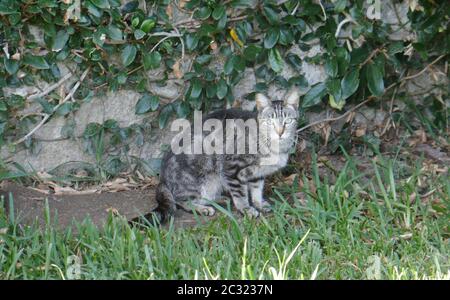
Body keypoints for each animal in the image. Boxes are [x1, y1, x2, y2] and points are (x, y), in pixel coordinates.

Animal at [155, 89, 298, 220]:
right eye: (270, 122)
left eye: (288, 121)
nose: (280, 132)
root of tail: (162, 178)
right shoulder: (232, 168)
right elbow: (240, 194)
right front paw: (246, 209)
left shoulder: (257, 174)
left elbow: (257, 190)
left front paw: (259, 204)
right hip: (200, 180)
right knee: (181, 201)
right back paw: (203, 208)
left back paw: (219, 199)